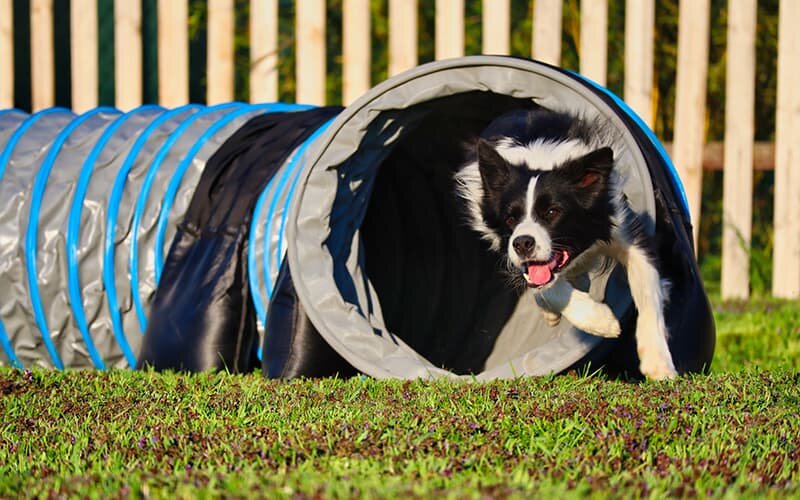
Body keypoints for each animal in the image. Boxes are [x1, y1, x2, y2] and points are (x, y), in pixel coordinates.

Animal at [456, 106, 676, 378]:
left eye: (552, 212)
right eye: (511, 218)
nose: (523, 243)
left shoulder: (625, 230)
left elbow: (647, 293)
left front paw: (659, 365)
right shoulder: (511, 252)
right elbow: (549, 288)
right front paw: (602, 321)